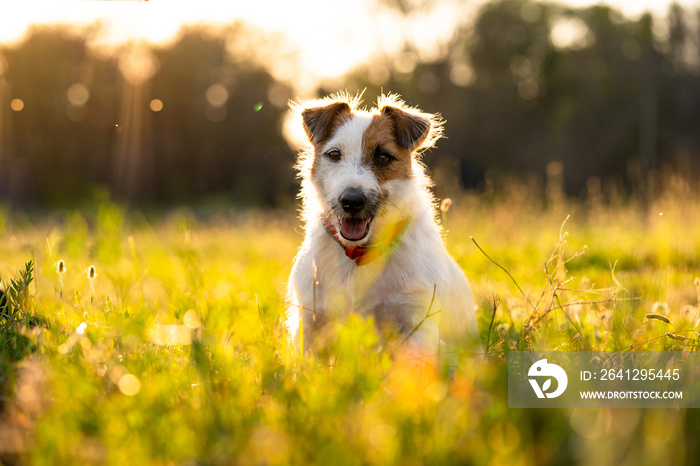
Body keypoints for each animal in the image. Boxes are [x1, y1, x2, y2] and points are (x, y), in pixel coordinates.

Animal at [288, 93, 478, 364]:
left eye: (383, 157)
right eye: (334, 154)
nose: (352, 201)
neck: (359, 254)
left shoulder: (416, 320)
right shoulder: (310, 320)